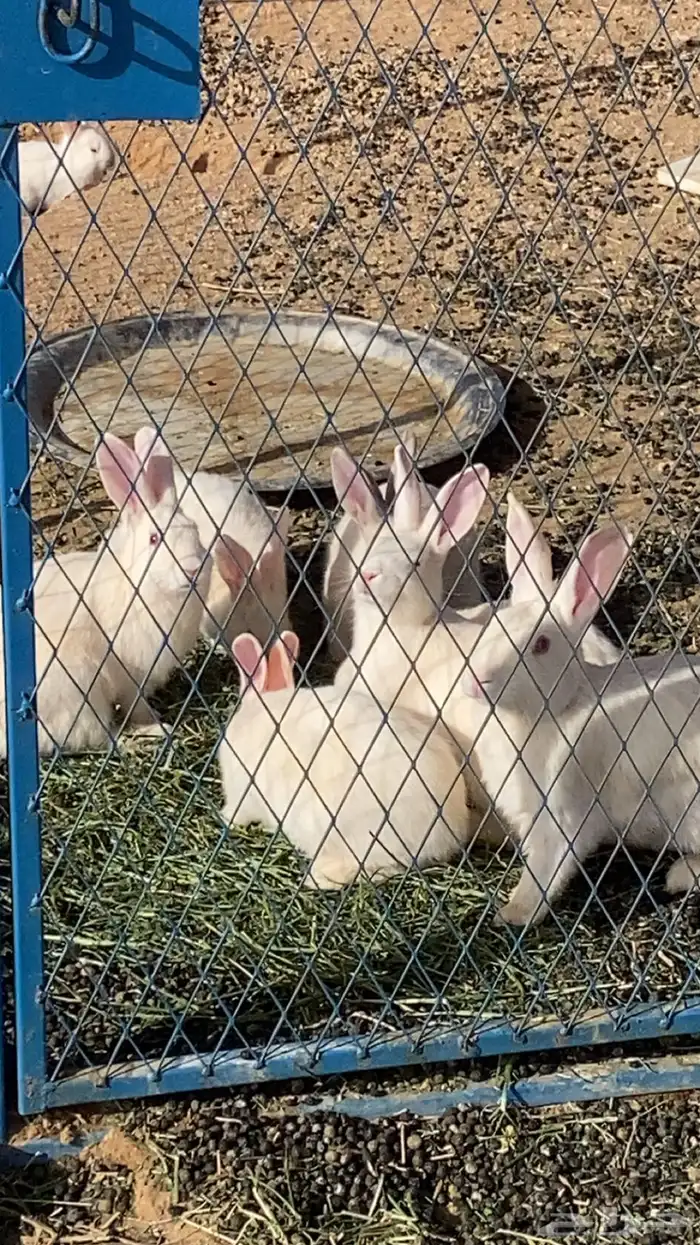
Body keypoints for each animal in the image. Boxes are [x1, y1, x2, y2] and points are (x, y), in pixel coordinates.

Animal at [34, 426, 210, 741]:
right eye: (154, 539)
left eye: (195, 530)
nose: (192, 568)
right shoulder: (132, 674)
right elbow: (135, 704)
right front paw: (155, 724)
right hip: (78, 693)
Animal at [461, 514, 700, 927]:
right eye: (494, 625)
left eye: (541, 645)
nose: (477, 680)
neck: (557, 709)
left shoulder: (562, 817)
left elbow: (545, 871)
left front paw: (512, 914)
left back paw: (677, 876)